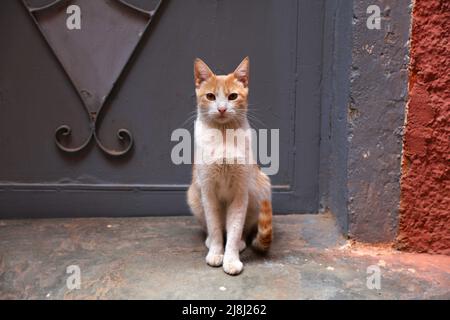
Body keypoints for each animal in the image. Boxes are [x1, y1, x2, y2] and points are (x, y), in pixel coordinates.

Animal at [185, 57, 270, 276]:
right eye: (210, 96)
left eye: (232, 96)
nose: (222, 109)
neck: (223, 136)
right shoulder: (208, 192)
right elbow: (215, 228)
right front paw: (216, 253)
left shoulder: (240, 194)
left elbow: (234, 230)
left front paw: (231, 259)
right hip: (194, 196)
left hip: (260, 191)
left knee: (242, 230)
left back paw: (240, 243)